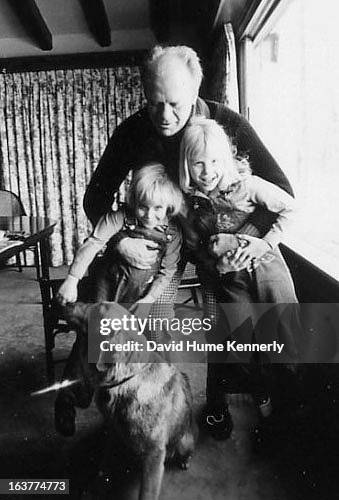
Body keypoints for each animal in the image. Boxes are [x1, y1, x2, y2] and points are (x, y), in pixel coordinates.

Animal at [64, 300, 197, 500]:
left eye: (98, 308)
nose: (67, 302)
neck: (126, 380)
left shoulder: (154, 454)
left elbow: (147, 493)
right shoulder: (113, 433)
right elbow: (104, 466)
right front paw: (95, 487)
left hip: (184, 442)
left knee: (184, 450)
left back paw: (184, 460)